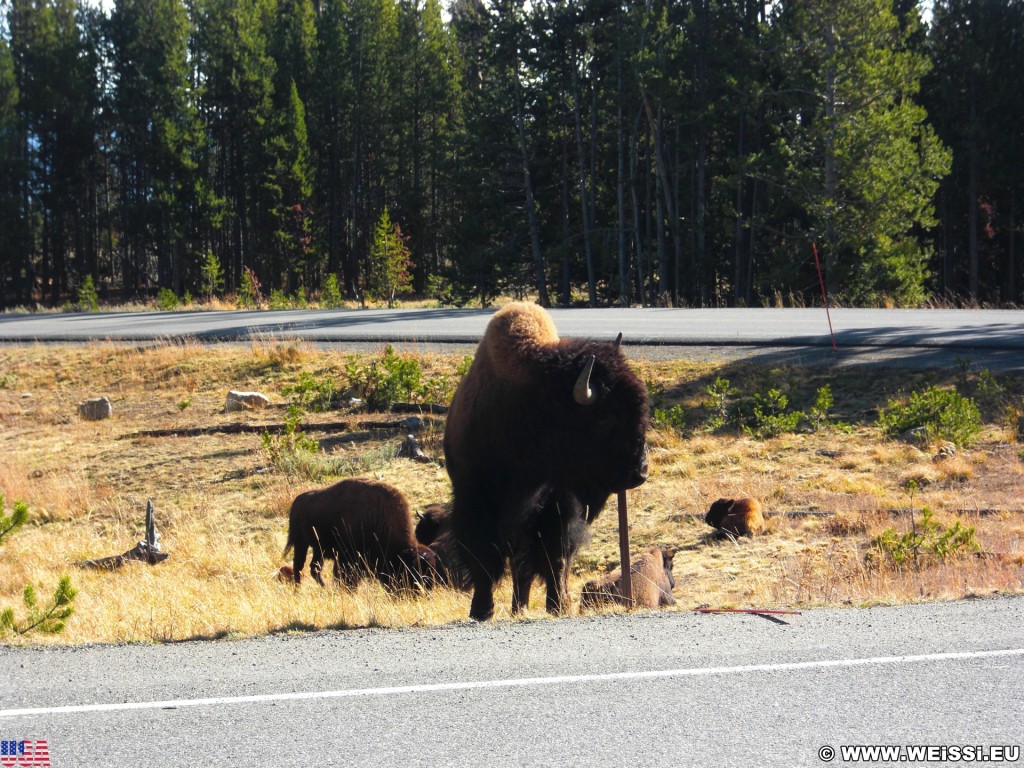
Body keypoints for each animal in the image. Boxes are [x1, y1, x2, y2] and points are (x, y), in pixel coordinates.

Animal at [284, 479, 436, 593]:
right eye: (412, 572)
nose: (422, 594)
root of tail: (296, 502)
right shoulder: (346, 558)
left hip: (318, 549)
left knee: (314, 568)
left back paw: (324, 588)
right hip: (301, 543)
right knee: (298, 566)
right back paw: (298, 591)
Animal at [440, 303, 647, 622]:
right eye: (605, 420)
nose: (641, 471)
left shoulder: (560, 503)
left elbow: (555, 556)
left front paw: (557, 605)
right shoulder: (475, 499)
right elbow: (484, 555)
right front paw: (481, 610)